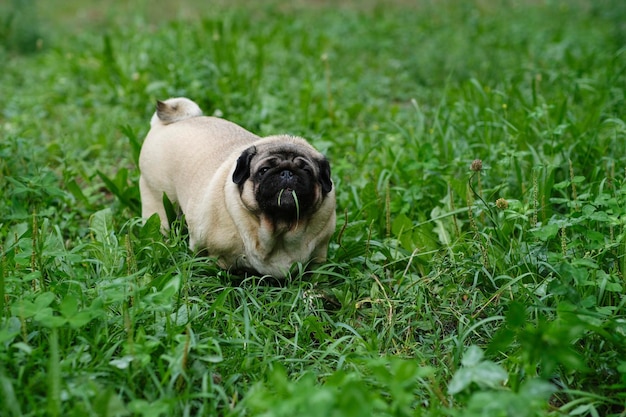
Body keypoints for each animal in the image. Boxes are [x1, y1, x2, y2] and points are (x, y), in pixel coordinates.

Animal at [138, 97, 336, 276]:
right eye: (264, 170)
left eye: (306, 171)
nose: (287, 172)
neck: (280, 226)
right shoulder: (221, 258)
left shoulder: (318, 256)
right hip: (159, 200)